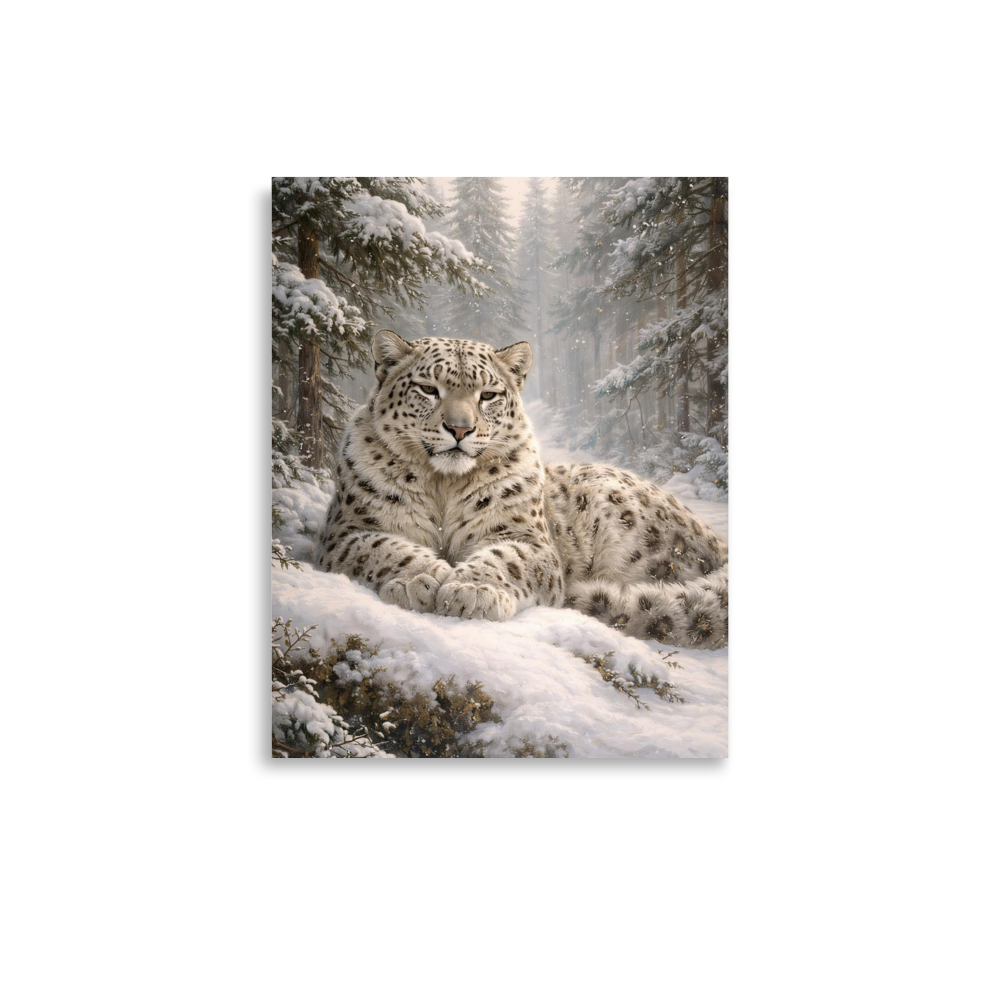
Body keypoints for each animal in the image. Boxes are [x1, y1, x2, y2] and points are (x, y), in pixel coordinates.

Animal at [316, 330, 729, 648]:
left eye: (488, 394)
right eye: (428, 388)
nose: (460, 428)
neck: (444, 484)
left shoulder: (528, 539)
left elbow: (506, 558)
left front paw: (472, 591)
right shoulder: (348, 531)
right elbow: (384, 548)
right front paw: (420, 580)